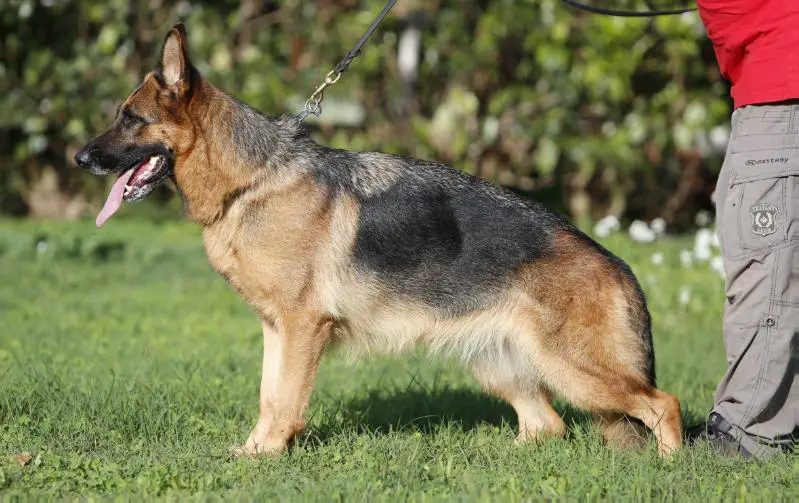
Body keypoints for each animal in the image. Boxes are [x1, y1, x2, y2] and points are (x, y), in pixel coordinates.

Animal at [78, 23, 684, 456]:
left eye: (130, 118)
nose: (81, 158)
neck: (253, 178)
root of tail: (618, 266)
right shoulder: (277, 329)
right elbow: (269, 396)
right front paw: (252, 454)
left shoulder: (302, 328)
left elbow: (285, 400)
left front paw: (268, 456)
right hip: (500, 364)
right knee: (548, 425)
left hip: (574, 369)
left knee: (664, 404)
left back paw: (670, 469)